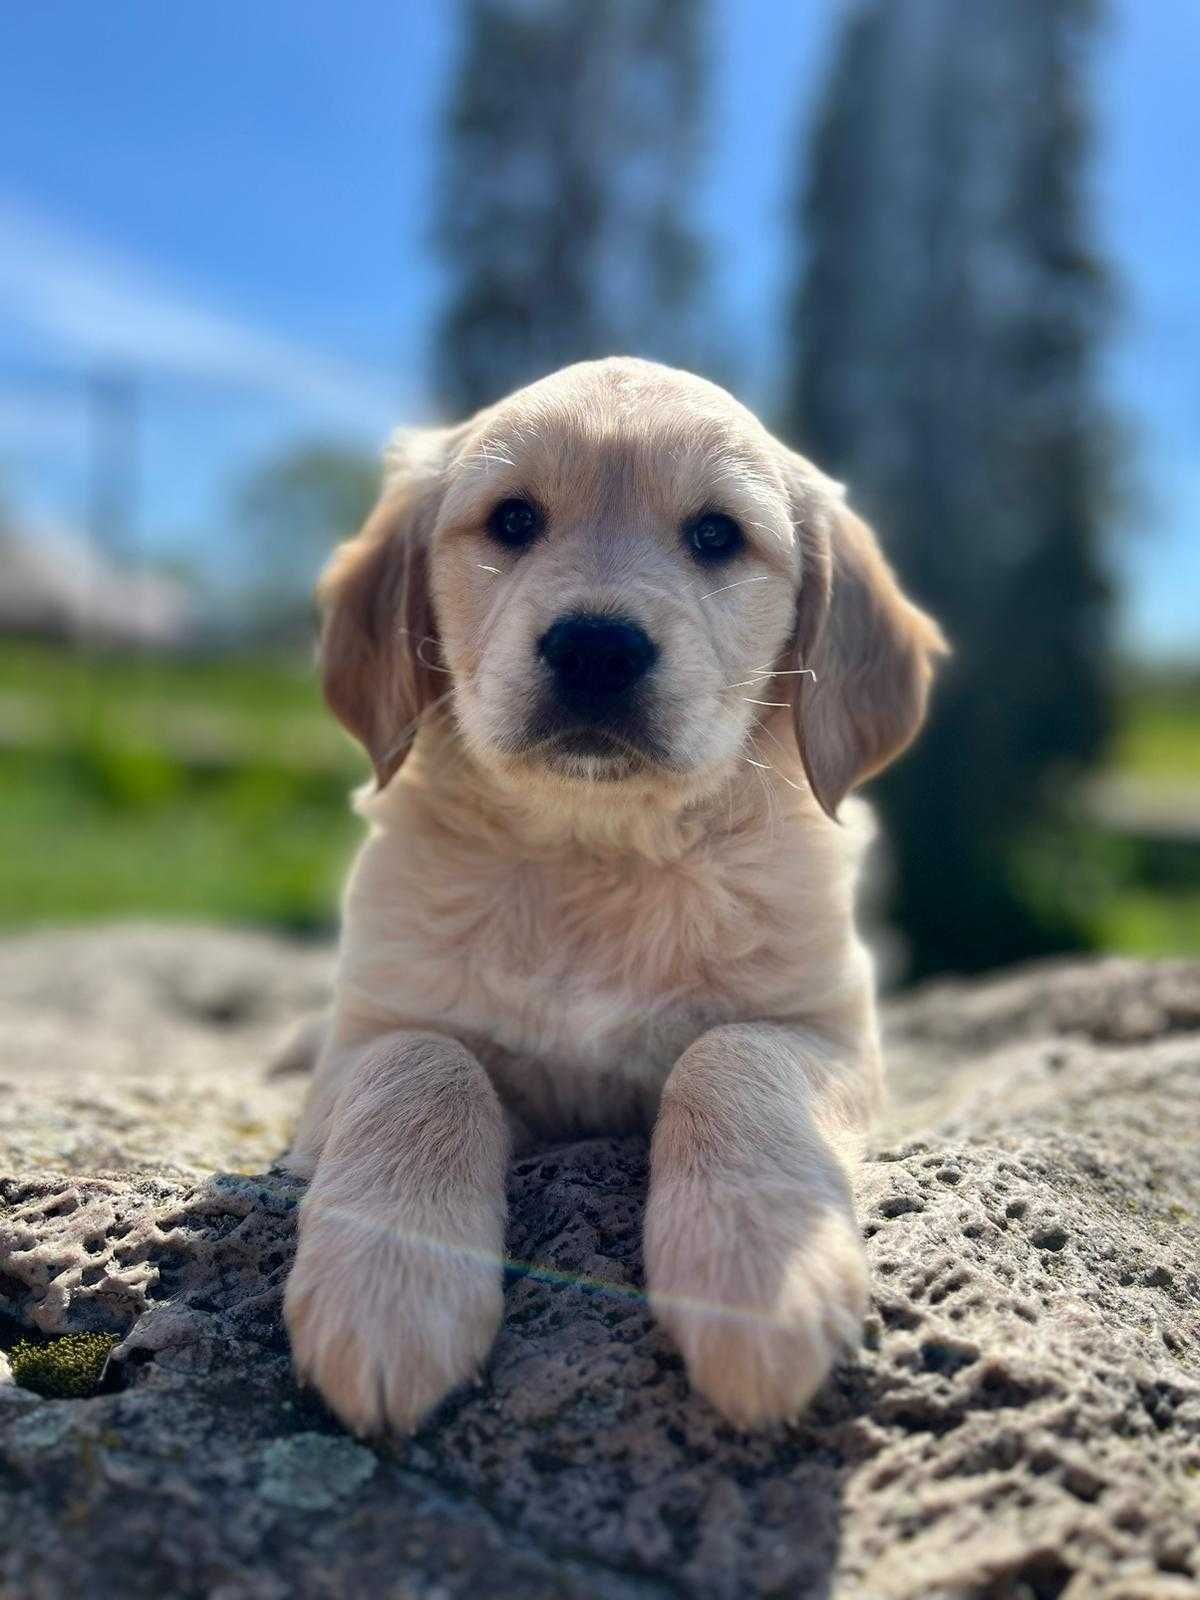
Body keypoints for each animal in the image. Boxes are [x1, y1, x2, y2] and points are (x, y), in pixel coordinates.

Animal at [284, 360, 947, 1440]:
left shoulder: (831, 1027)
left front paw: (754, 1271)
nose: (596, 648)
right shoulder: (370, 1029)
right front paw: (389, 1286)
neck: (597, 851)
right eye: (512, 520)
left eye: (716, 535)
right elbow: (424, 1064)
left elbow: (731, 1053)